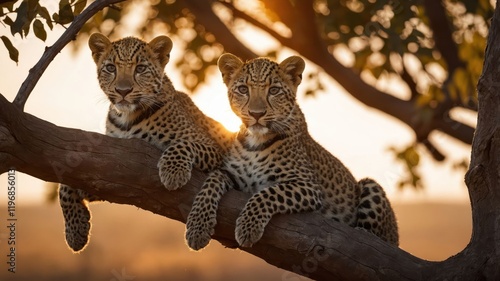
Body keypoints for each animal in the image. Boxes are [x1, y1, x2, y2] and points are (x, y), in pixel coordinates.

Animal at [59, 32, 234, 252]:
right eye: (111, 68)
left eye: (140, 68)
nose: (123, 90)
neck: (126, 118)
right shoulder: (108, 171)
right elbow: (65, 185)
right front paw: (75, 232)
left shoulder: (213, 148)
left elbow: (181, 145)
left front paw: (173, 173)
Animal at [184, 53, 398, 249]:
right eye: (243, 89)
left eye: (274, 90)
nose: (256, 114)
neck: (255, 141)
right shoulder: (235, 176)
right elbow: (213, 179)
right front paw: (197, 228)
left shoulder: (308, 186)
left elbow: (268, 193)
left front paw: (247, 228)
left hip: (371, 187)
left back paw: (364, 233)